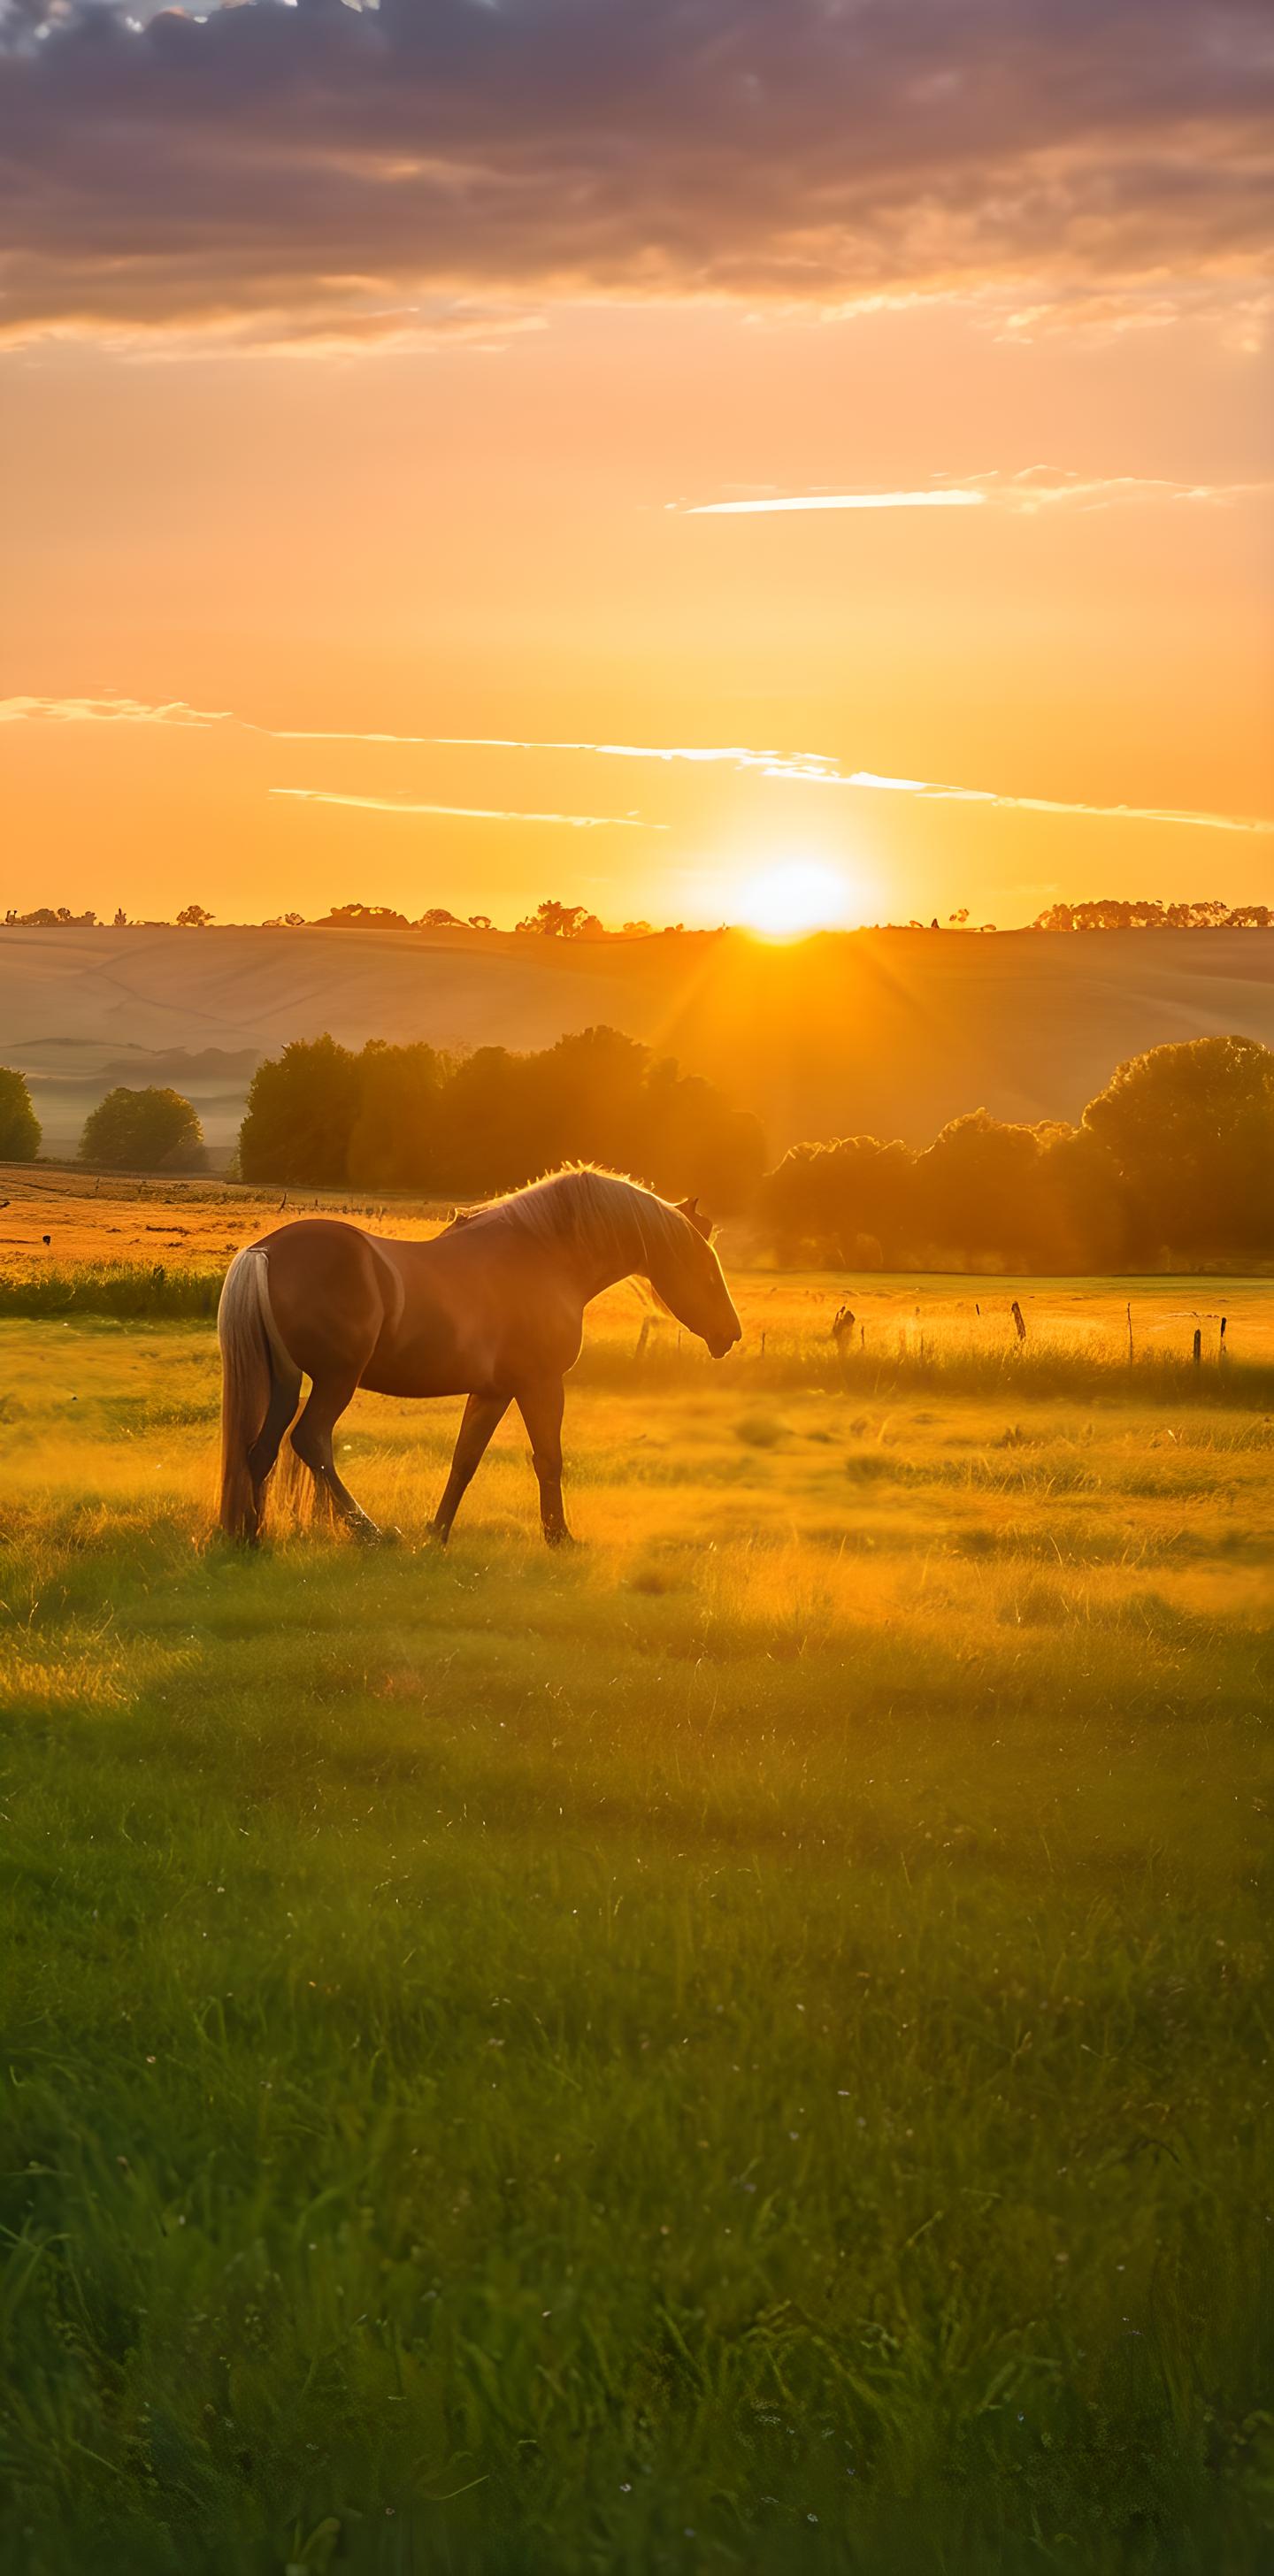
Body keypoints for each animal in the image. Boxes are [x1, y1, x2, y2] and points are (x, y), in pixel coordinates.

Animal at [216, 1169, 741, 1545]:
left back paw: (253, 1538)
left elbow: (465, 1460)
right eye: (705, 1264)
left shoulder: (493, 1391)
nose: (731, 1334)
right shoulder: (540, 1384)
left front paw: (438, 1534)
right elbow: (549, 1458)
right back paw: (370, 1533)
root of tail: (265, 1251)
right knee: (311, 1441)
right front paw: (560, 1537)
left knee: (260, 1450)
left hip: (285, 1381)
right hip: (335, 1380)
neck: (546, 1257)